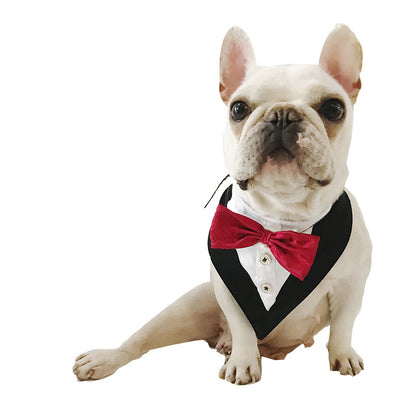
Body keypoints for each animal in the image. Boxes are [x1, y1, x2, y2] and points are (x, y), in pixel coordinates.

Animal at [73, 24, 372, 386]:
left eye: (333, 108)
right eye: (238, 108)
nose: (282, 114)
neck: (280, 219)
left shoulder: (351, 286)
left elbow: (343, 326)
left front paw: (343, 355)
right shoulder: (229, 288)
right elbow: (242, 325)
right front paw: (243, 362)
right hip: (188, 305)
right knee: (139, 340)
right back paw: (105, 358)